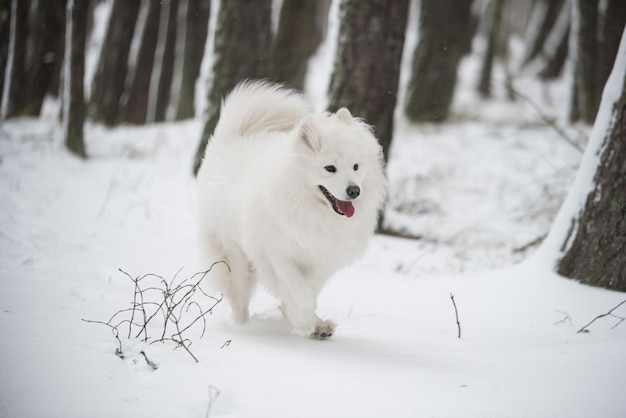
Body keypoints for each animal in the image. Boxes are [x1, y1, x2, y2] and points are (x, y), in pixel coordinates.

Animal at [196, 80, 386, 338]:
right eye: (330, 168)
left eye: (356, 166)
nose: (355, 190)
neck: (310, 209)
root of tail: (232, 139)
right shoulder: (278, 253)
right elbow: (299, 291)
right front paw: (305, 322)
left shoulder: (322, 257)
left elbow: (308, 290)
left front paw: (310, 322)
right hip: (233, 253)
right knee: (238, 296)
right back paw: (242, 328)